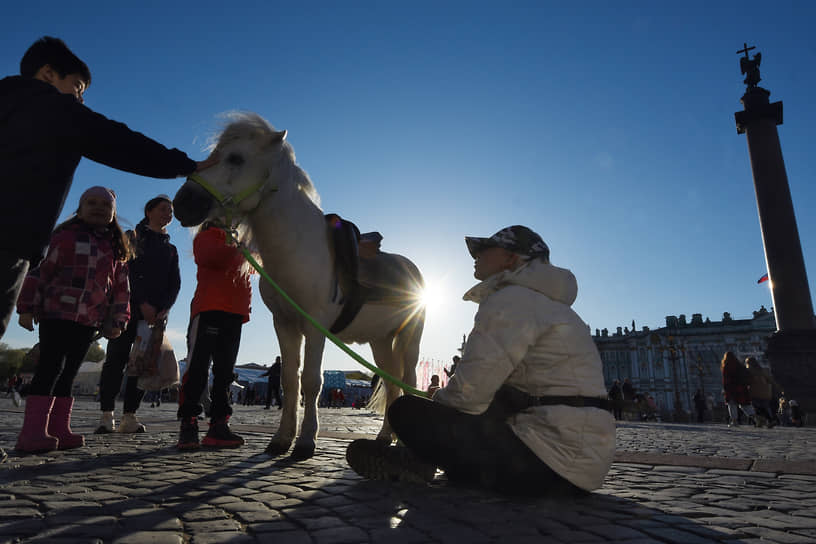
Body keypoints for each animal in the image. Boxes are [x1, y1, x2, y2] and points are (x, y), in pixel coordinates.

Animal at [173, 113, 428, 460]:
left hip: (409, 337)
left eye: (236, 158)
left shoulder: (315, 325)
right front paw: (282, 439)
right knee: (391, 384)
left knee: (407, 379)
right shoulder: (285, 324)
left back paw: (401, 442)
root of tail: (413, 271)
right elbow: (290, 382)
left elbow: (311, 381)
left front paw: (306, 441)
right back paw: (384, 436)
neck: (298, 247)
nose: (182, 203)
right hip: (380, 340)